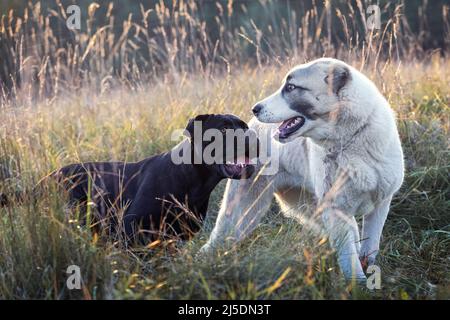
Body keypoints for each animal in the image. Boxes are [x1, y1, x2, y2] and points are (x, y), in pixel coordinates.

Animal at [200, 57, 404, 280]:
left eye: (291, 87)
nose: (255, 108)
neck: (350, 139)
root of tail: (250, 127)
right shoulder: (335, 210)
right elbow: (349, 257)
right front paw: (357, 283)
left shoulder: (380, 204)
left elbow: (370, 245)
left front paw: (367, 271)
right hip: (243, 211)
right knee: (219, 238)